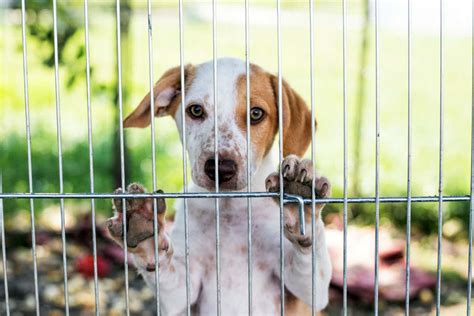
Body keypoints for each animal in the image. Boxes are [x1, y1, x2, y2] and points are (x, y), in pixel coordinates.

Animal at [105, 58, 332, 314]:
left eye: (256, 114)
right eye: (196, 110)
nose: (220, 169)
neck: (229, 206)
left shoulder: (309, 294)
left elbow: (311, 257)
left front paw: (301, 204)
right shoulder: (181, 291)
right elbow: (162, 265)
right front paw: (144, 230)